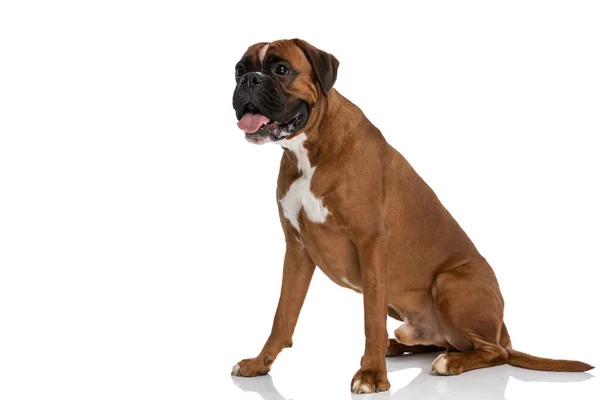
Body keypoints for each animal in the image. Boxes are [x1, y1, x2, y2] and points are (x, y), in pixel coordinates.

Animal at [230, 39, 592, 392]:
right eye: (238, 70)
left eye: (281, 69)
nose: (249, 80)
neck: (309, 152)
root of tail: (504, 331)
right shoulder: (297, 251)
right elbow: (282, 316)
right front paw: (259, 363)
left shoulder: (371, 245)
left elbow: (370, 319)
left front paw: (372, 375)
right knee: (440, 342)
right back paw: (399, 347)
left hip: (450, 283)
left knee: (493, 352)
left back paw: (450, 363)